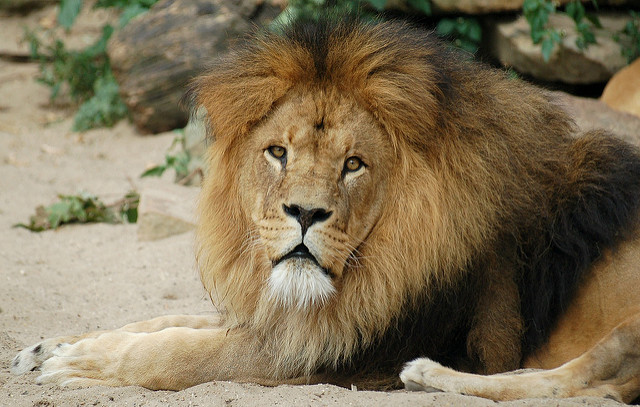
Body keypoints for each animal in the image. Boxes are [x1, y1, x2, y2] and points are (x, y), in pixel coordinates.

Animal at [11, 17, 640, 403]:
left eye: (354, 164)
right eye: (278, 152)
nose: (306, 214)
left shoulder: (343, 351)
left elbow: (178, 354)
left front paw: (76, 366)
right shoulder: (297, 318)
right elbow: (162, 323)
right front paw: (55, 347)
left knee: (577, 385)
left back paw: (429, 374)